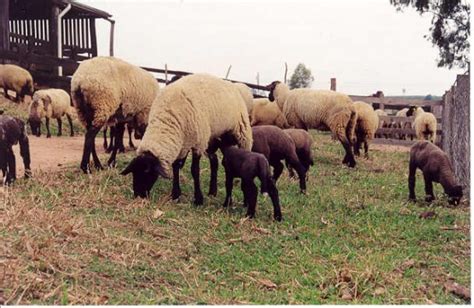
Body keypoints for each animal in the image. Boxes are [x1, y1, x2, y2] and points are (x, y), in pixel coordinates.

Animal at [122, 73, 254, 205]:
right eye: (134, 172)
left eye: (146, 172)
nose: (138, 195)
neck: (168, 117)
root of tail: (230, 84)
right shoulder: (182, 144)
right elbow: (176, 167)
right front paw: (175, 194)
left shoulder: (198, 143)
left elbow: (194, 170)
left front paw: (198, 199)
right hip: (215, 138)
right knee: (215, 161)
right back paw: (212, 191)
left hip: (242, 133)